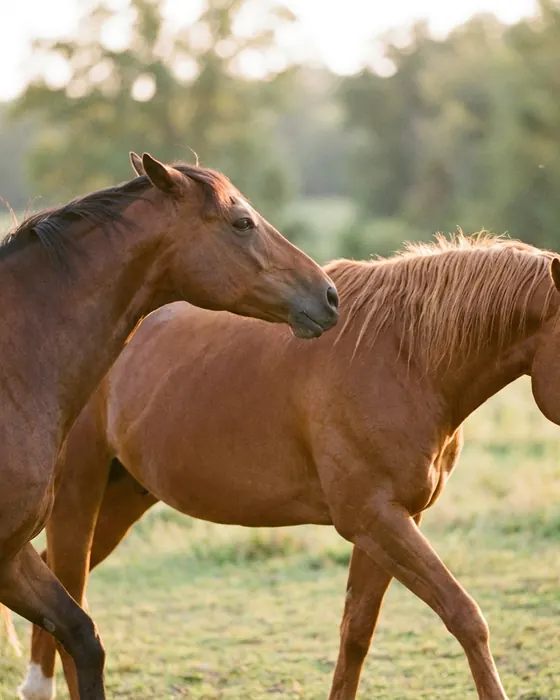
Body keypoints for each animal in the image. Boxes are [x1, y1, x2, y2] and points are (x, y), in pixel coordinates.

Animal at [20, 233, 560, 700]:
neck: (405, 358)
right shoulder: (373, 518)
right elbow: (465, 615)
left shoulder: (392, 520)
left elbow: (355, 634)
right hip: (78, 495)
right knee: (70, 598)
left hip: (120, 501)